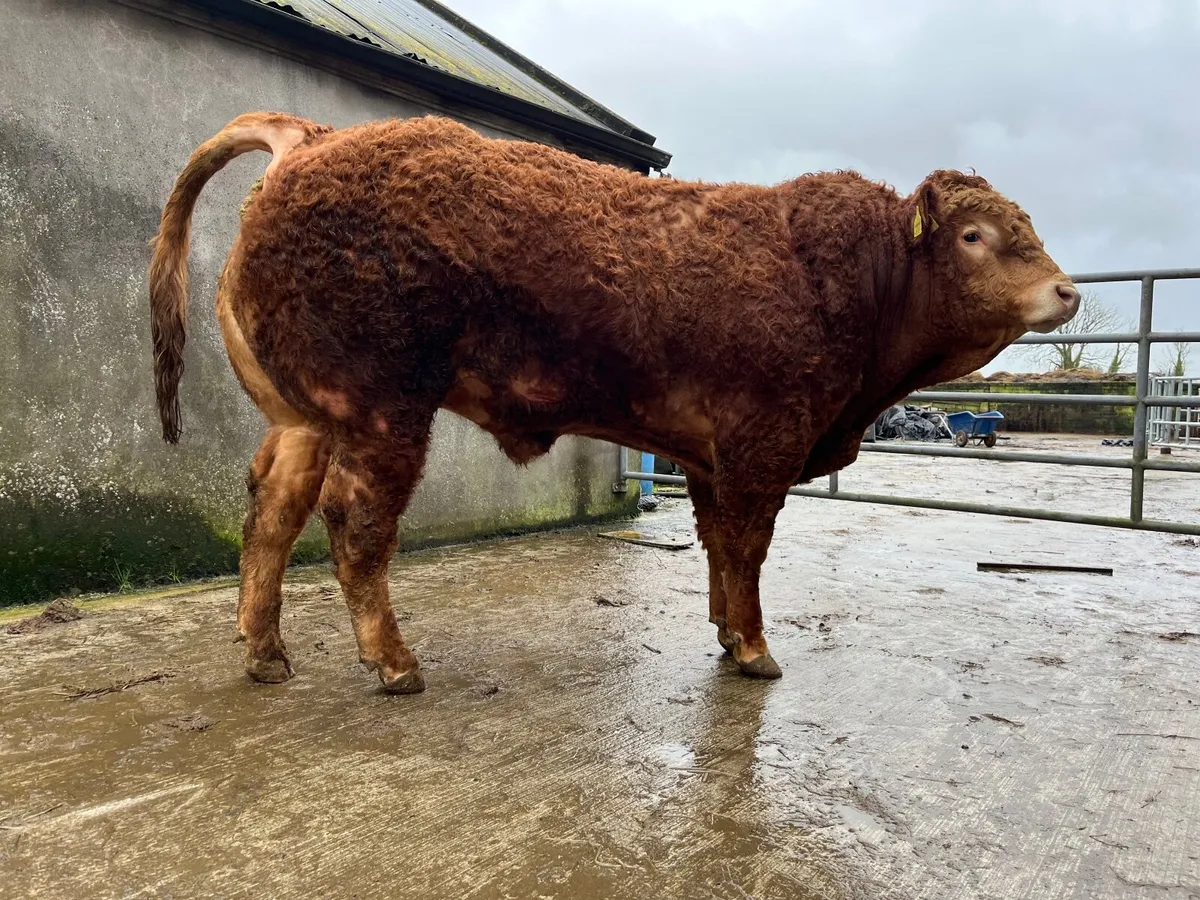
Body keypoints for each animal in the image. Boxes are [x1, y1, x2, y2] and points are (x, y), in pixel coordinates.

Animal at [149, 112, 1079, 694]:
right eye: (975, 236)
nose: (1067, 291)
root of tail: (313, 140)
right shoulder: (763, 443)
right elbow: (748, 548)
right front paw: (754, 647)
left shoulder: (707, 454)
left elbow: (717, 547)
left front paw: (722, 632)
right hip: (383, 411)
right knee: (355, 522)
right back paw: (393, 664)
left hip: (305, 417)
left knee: (272, 511)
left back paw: (266, 653)